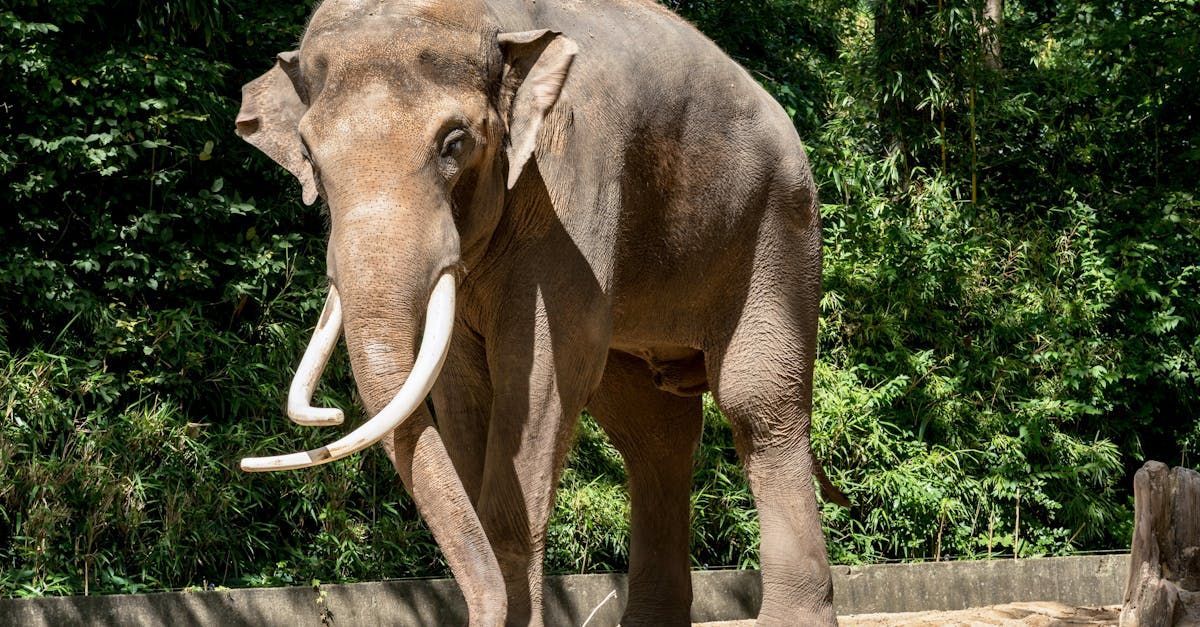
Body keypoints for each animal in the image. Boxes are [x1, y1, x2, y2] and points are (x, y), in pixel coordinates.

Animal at [234, 0, 835, 625]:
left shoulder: (572, 183)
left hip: (779, 225)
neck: (499, 22)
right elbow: (462, 385)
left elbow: (549, 366)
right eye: (308, 155)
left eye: (453, 144)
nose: (328, 415)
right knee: (652, 432)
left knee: (757, 405)